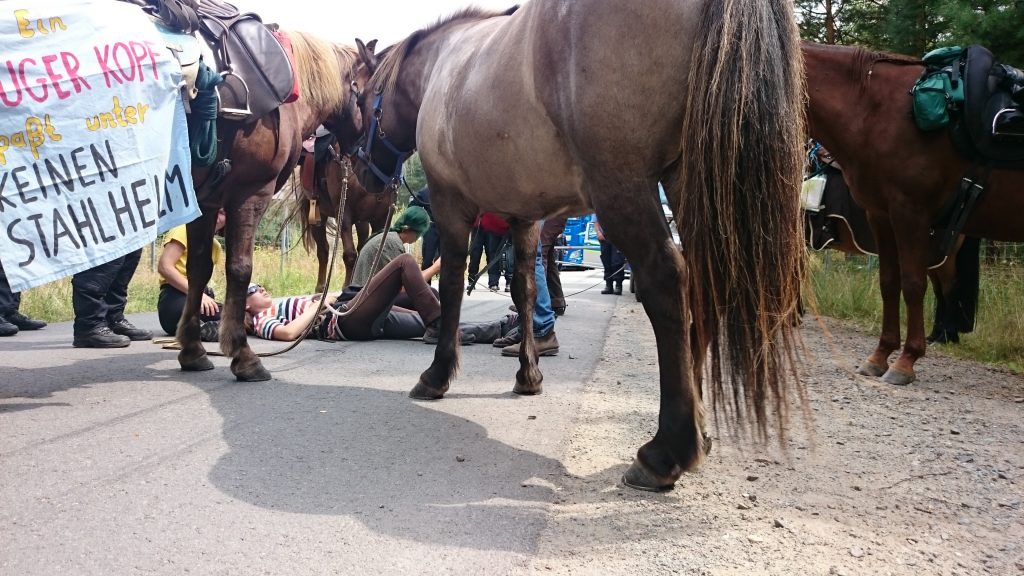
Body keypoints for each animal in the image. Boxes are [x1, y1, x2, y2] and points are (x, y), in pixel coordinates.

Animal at [176, 32, 368, 381]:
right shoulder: (250, 193)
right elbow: (239, 268)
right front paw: (242, 354)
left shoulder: (204, 202)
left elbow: (199, 268)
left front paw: (192, 349)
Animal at [352, 0, 806, 491]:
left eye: (360, 98)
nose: (360, 169)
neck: (448, 64)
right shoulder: (524, 216)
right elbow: (525, 291)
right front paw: (528, 375)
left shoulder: (450, 204)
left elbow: (452, 287)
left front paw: (437, 375)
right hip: (692, 182)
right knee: (706, 282)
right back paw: (697, 430)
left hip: (622, 186)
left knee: (667, 280)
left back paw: (666, 451)